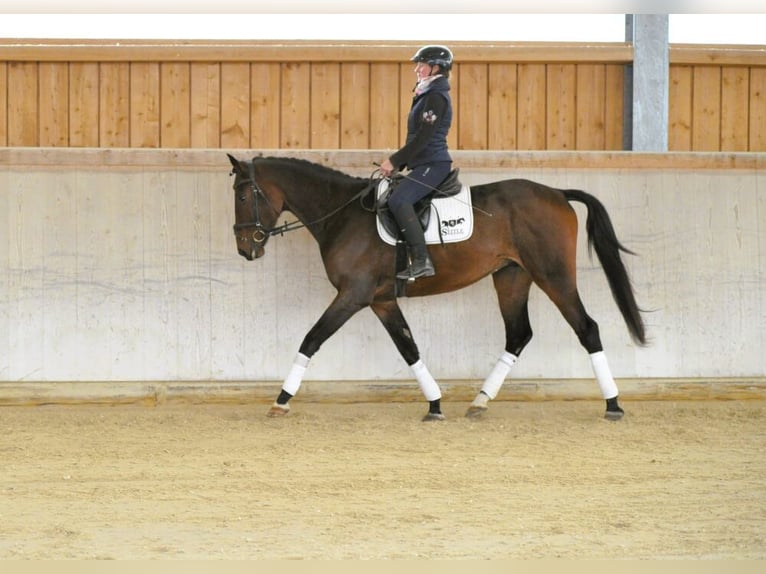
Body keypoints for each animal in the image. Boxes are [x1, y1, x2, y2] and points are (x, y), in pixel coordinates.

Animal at [227, 153, 647, 421]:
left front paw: (281, 400)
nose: (246, 248)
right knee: (518, 335)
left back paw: (613, 404)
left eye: (244, 195)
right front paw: (435, 404)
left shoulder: (352, 296)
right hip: (511, 276)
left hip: (553, 275)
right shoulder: (381, 301)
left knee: (586, 328)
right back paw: (480, 402)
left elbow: (311, 339)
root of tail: (557, 193)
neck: (342, 216)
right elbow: (409, 348)